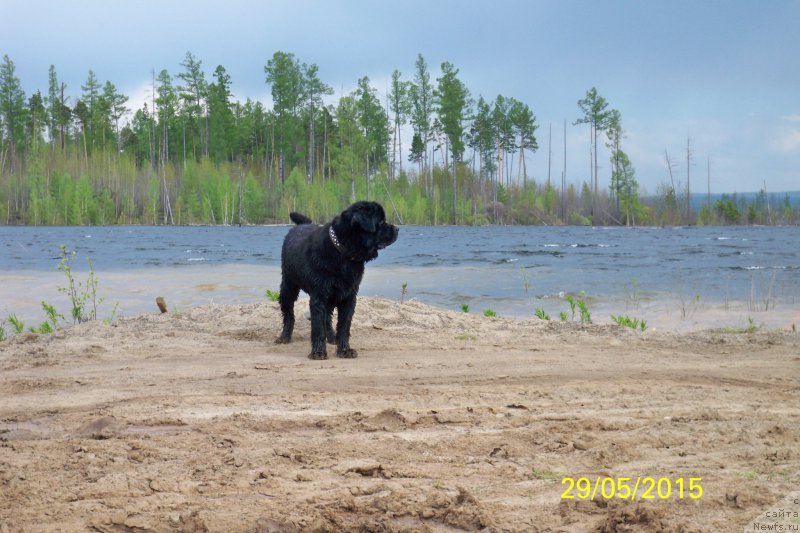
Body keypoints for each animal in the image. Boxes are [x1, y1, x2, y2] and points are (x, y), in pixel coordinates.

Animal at [276, 202, 400, 360]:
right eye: (381, 222)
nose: (397, 228)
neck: (343, 254)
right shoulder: (319, 296)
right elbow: (318, 327)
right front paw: (318, 352)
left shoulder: (348, 296)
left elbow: (344, 326)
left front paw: (344, 350)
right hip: (288, 287)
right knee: (289, 314)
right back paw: (284, 336)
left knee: (327, 319)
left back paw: (331, 337)